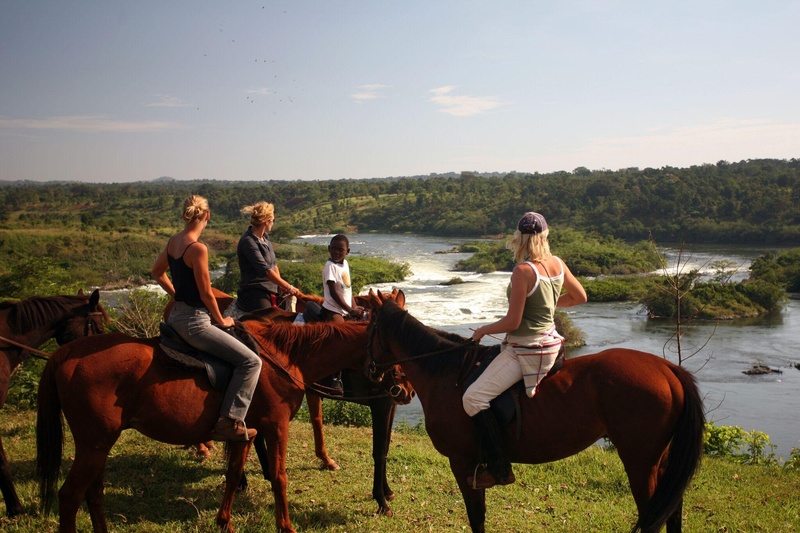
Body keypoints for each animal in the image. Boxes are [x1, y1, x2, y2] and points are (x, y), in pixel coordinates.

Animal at [37, 314, 388, 528]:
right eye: (393, 339)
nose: (397, 388)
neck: (284, 357)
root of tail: (64, 354)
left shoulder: (246, 432)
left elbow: (233, 476)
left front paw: (224, 522)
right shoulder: (277, 426)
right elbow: (279, 477)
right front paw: (286, 526)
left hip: (98, 445)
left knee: (92, 493)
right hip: (93, 444)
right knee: (70, 496)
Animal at [366, 300, 704, 532]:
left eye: (368, 327)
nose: (372, 371)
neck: (449, 374)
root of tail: (667, 369)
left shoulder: (463, 462)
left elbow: (476, 517)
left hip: (640, 463)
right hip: (660, 461)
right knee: (672, 511)